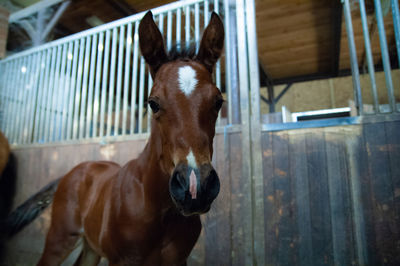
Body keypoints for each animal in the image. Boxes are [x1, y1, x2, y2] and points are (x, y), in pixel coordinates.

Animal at [3, 9, 223, 264]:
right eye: (153, 103)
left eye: (218, 101)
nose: (195, 188)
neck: (157, 206)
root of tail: (72, 172)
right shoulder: (123, 260)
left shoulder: (178, 261)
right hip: (59, 239)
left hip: (91, 247)